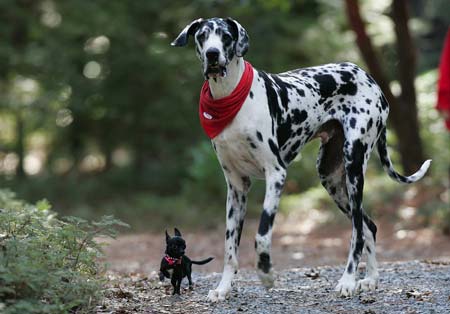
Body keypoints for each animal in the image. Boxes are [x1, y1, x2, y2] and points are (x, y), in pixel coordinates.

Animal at [171, 17, 428, 302]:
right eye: (202, 36)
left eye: (226, 36)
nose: (212, 54)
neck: (231, 97)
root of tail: (368, 76)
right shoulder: (237, 187)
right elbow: (229, 247)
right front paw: (224, 288)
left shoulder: (276, 175)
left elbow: (261, 236)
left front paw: (266, 274)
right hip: (331, 178)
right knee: (368, 226)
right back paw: (370, 279)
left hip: (353, 169)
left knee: (358, 232)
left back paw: (348, 281)